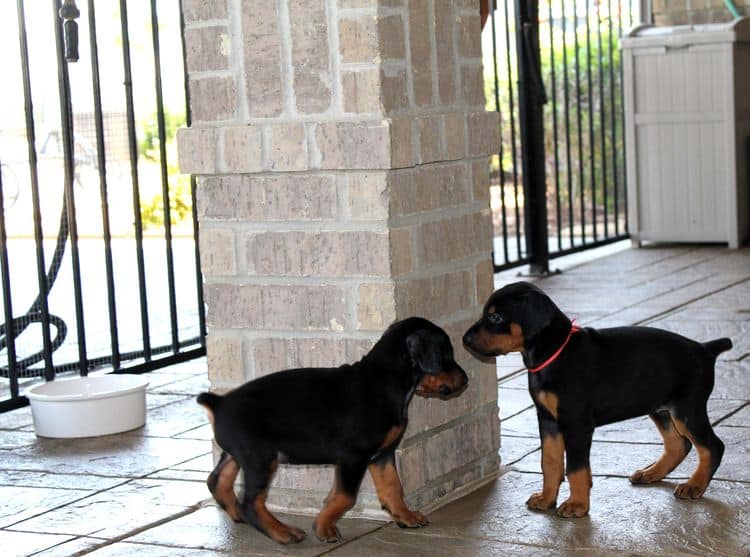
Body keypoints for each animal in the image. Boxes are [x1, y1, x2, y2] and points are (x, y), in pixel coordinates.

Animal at [197, 318, 468, 544]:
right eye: (447, 354)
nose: (466, 380)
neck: (386, 382)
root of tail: (219, 403)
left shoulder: (381, 455)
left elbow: (393, 486)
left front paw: (405, 516)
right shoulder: (353, 457)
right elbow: (345, 496)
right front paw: (324, 528)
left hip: (239, 453)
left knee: (217, 480)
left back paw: (238, 515)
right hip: (260, 457)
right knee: (251, 502)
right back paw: (283, 532)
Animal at [464, 282, 736, 516]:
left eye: (496, 318)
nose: (465, 340)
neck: (554, 353)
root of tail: (704, 348)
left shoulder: (576, 423)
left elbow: (576, 468)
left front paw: (576, 505)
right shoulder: (548, 420)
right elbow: (550, 462)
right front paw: (546, 499)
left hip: (686, 409)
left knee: (713, 446)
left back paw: (695, 485)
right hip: (661, 408)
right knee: (679, 444)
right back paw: (652, 474)